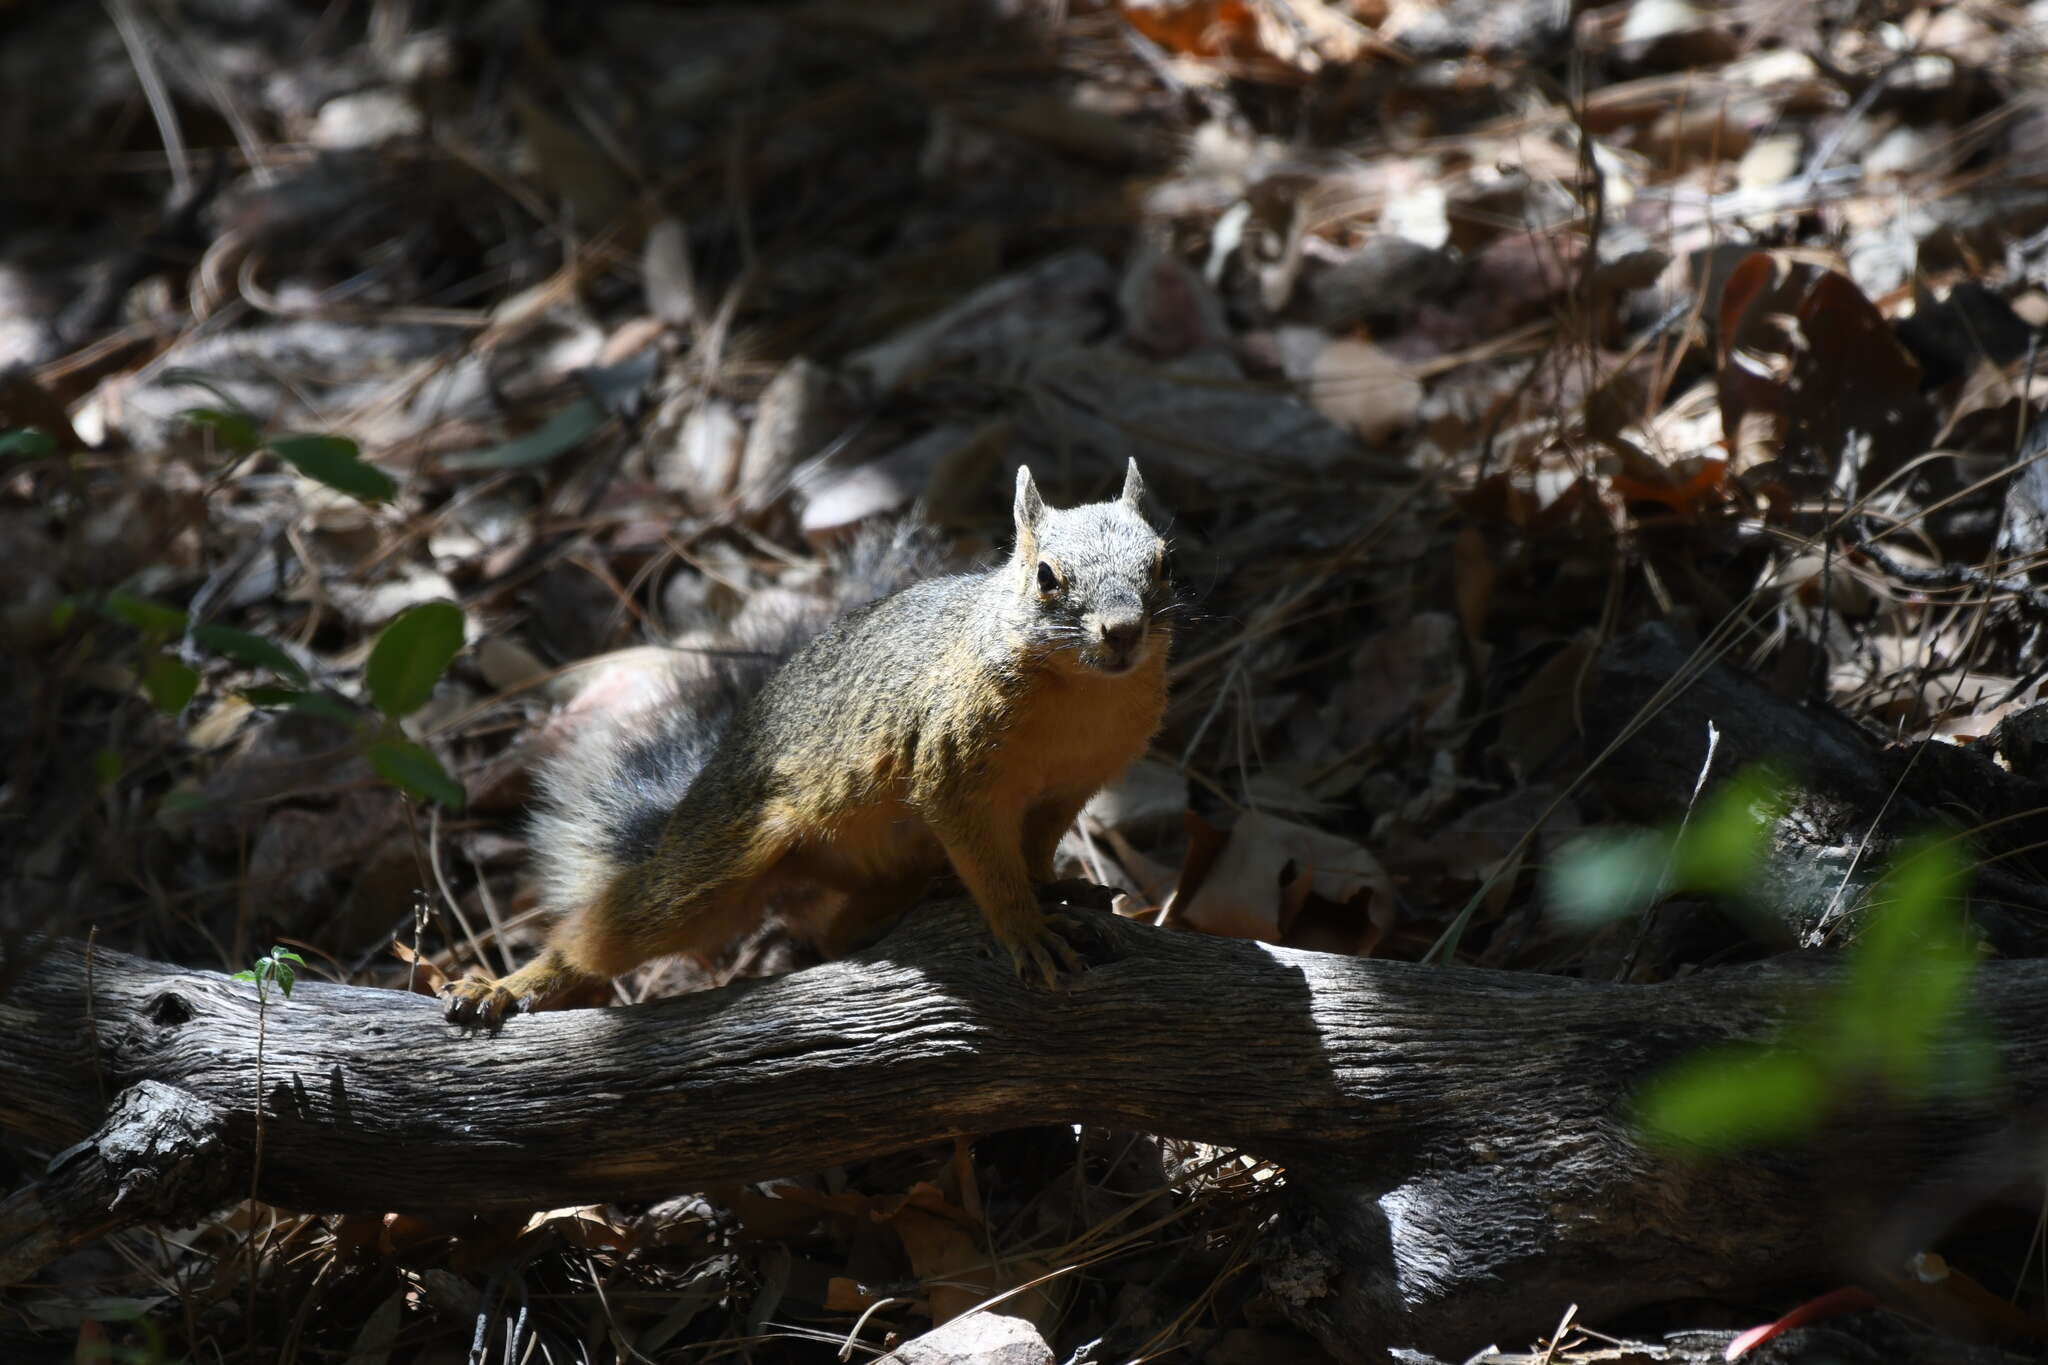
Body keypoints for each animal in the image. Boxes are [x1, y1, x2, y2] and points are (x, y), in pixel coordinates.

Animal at [448, 458, 1179, 1023]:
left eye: (1164, 562)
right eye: (1047, 576)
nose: (1122, 631)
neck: (1082, 695)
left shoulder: (1073, 785)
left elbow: (1035, 849)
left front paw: (1058, 889)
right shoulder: (953, 764)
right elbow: (985, 854)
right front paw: (1024, 925)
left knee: (836, 930)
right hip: (720, 861)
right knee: (616, 929)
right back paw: (508, 985)